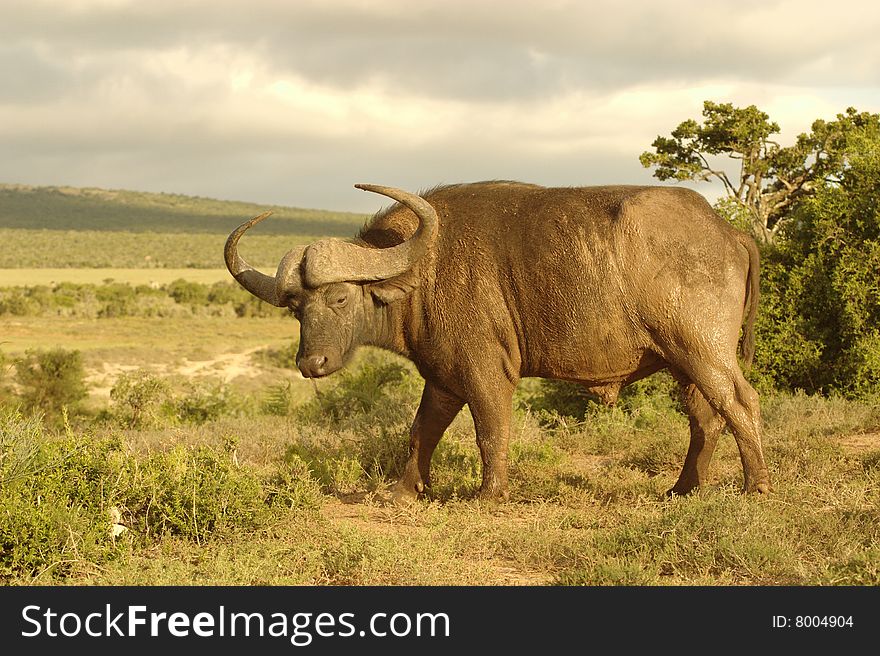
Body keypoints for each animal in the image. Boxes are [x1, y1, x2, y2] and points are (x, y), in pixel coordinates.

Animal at [225, 183, 768, 502]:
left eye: (339, 297)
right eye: (296, 307)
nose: (311, 362)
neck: (425, 269)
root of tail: (730, 232)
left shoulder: (487, 372)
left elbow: (490, 430)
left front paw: (490, 495)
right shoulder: (442, 379)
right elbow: (422, 431)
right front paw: (404, 490)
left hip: (702, 350)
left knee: (741, 402)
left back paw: (755, 486)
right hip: (681, 362)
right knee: (705, 417)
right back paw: (684, 488)